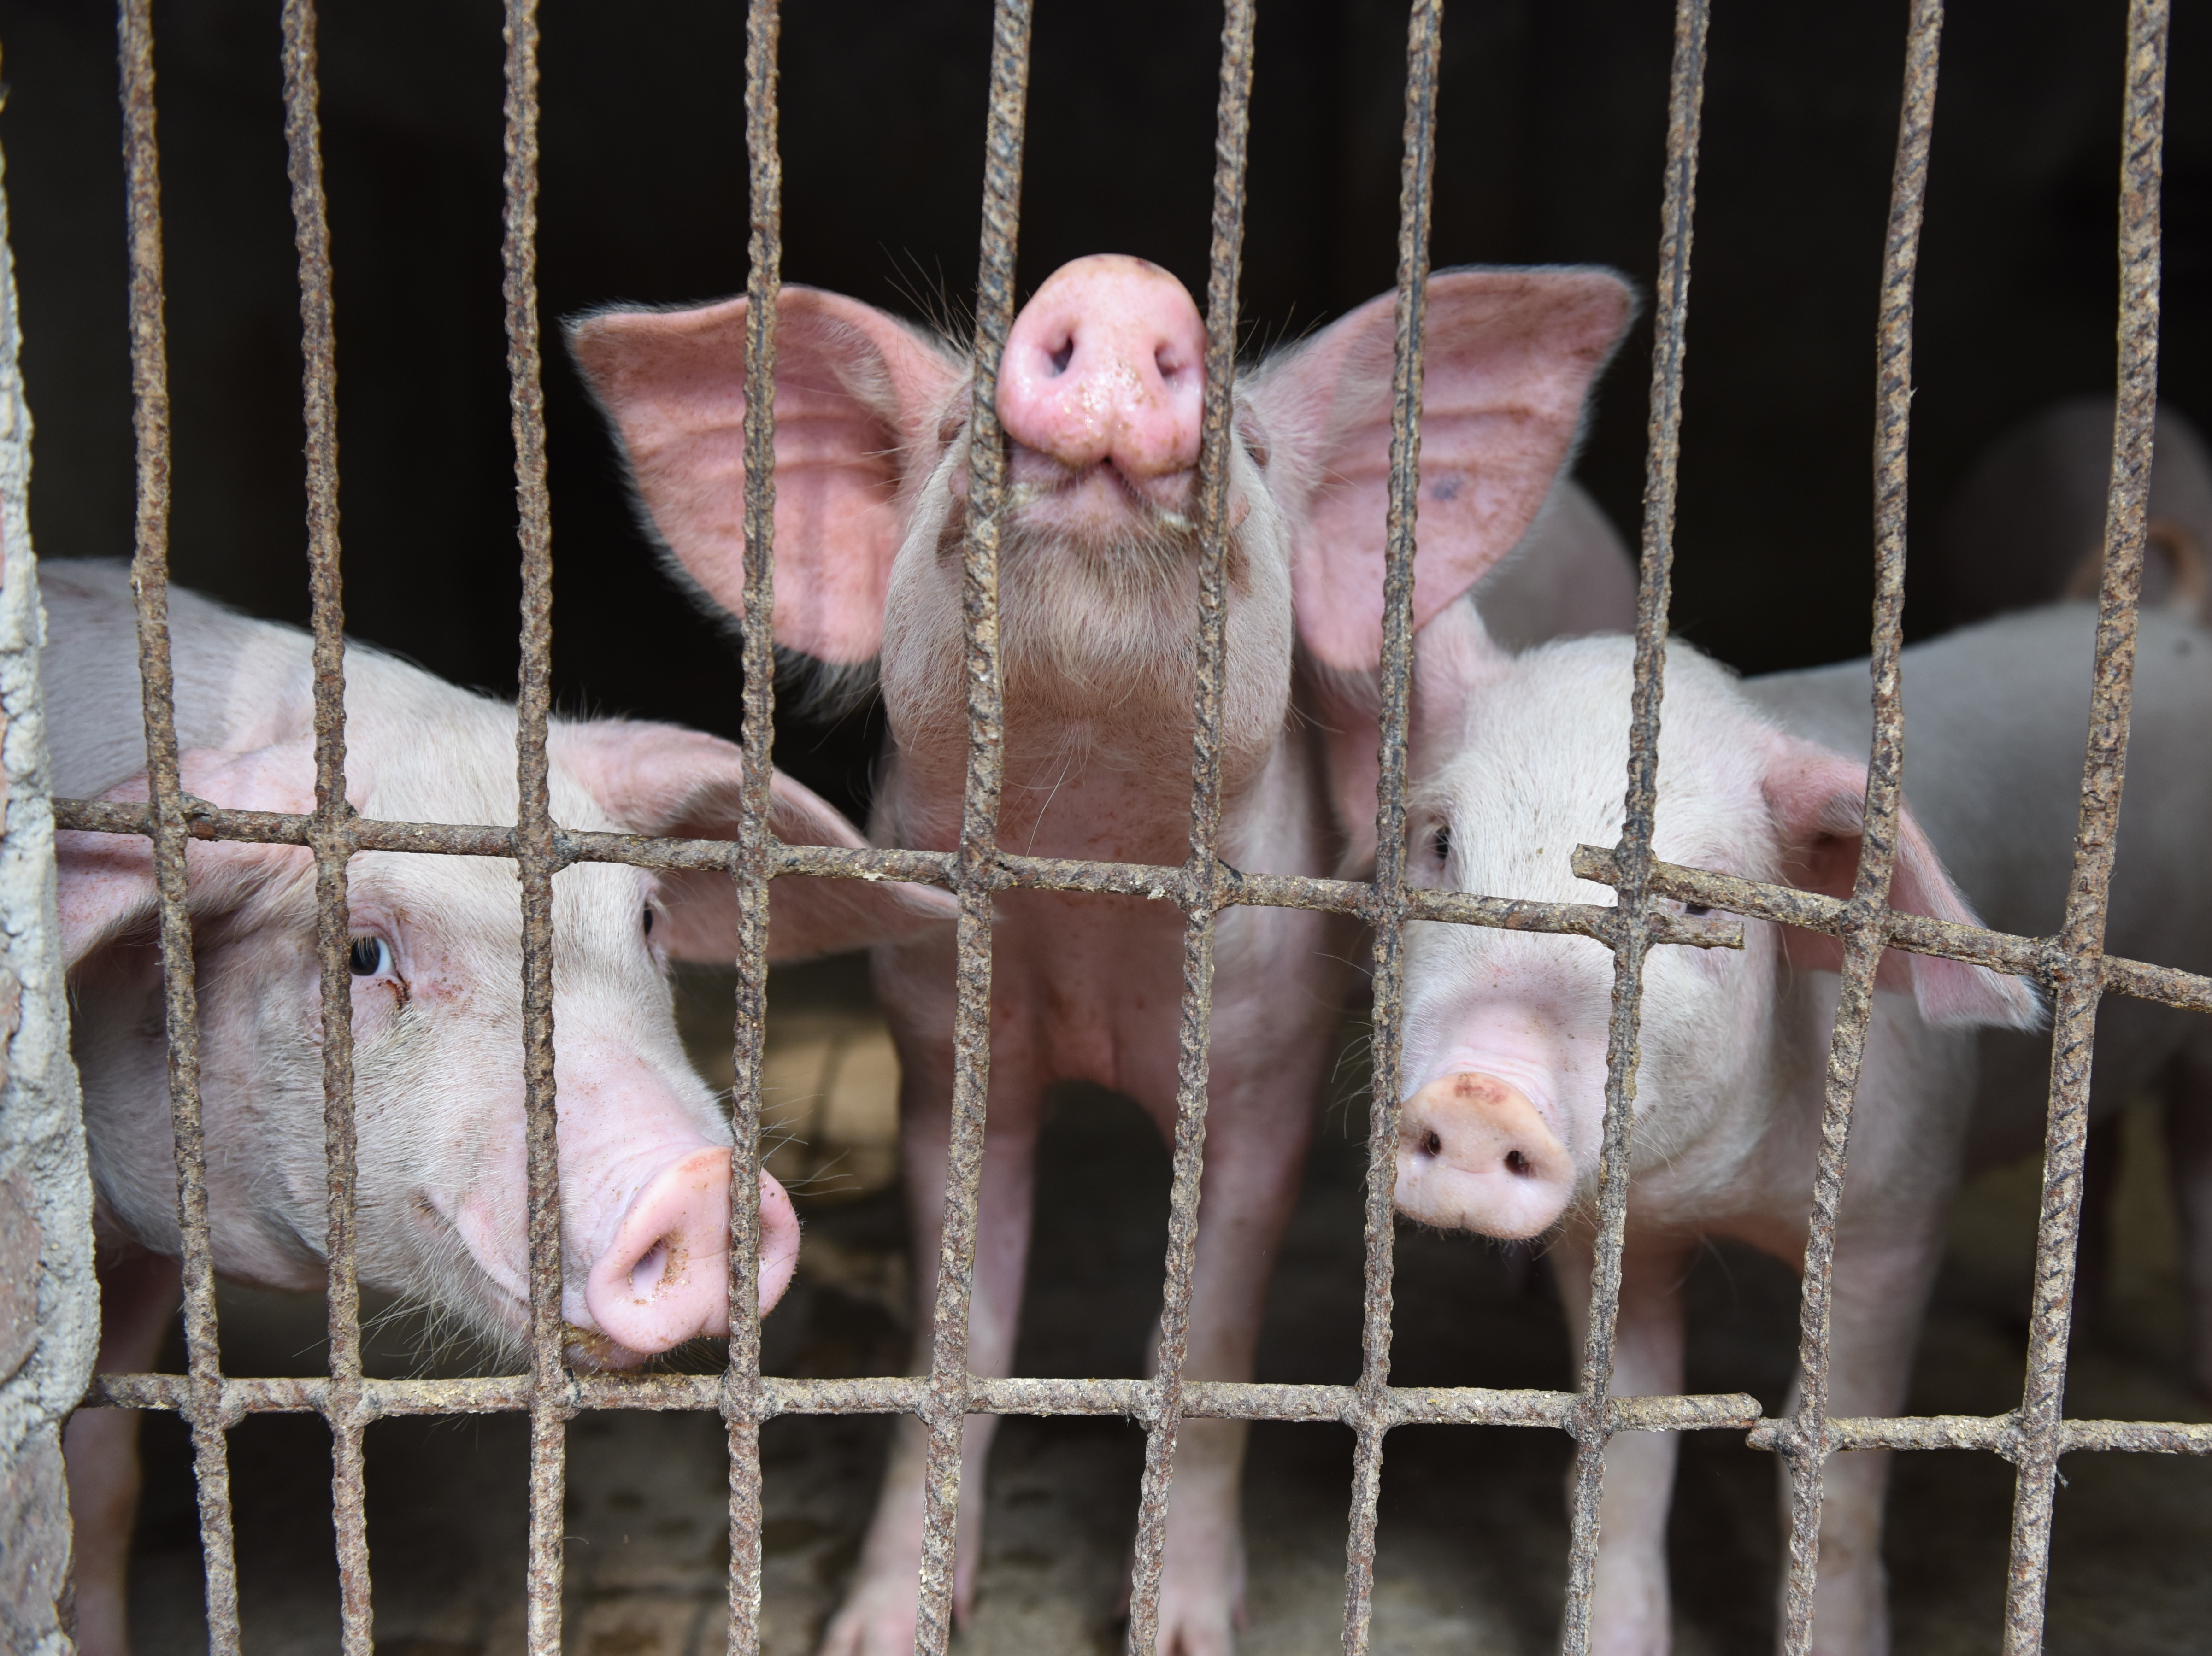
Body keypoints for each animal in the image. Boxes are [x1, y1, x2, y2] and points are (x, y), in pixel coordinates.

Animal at [570, 253, 1637, 1653]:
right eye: (953, 430)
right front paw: (877, 1627)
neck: (1086, 879)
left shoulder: (1270, 1056)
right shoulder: (940, 1043)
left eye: (1252, 445)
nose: (1121, 284)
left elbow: (1213, 1329)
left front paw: (1179, 1629)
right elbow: (955, 1328)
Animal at [1392, 594, 2212, 1654]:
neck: (1730, 1195)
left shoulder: (1899, 1221)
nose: (1477, 1093)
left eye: (1696, 903)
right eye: (1441, 842)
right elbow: (1628, 1460)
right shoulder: (1614, 1241)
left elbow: (1838, 1484)